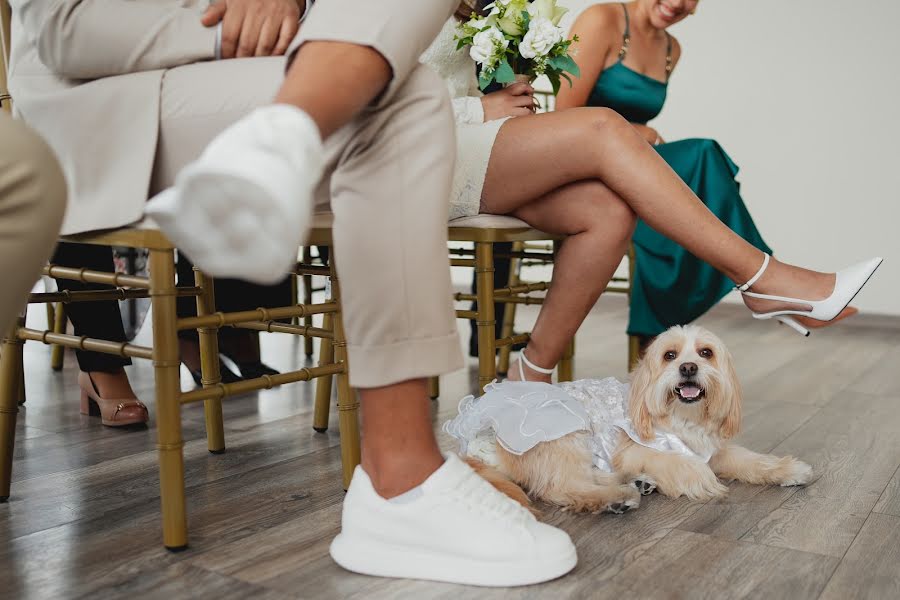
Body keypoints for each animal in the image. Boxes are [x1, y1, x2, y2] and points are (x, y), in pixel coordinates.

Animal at [486, 326, 816, 512]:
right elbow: (678, 461)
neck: (682, 419)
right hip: (567, 436)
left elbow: (750, 459)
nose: (688, 368)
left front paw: (788, 470)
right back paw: (617, 497)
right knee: (562, 486)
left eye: (705, 353)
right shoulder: (635, 449)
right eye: (669, 355)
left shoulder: (713, 450)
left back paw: (637, 483)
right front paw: (701, 478)